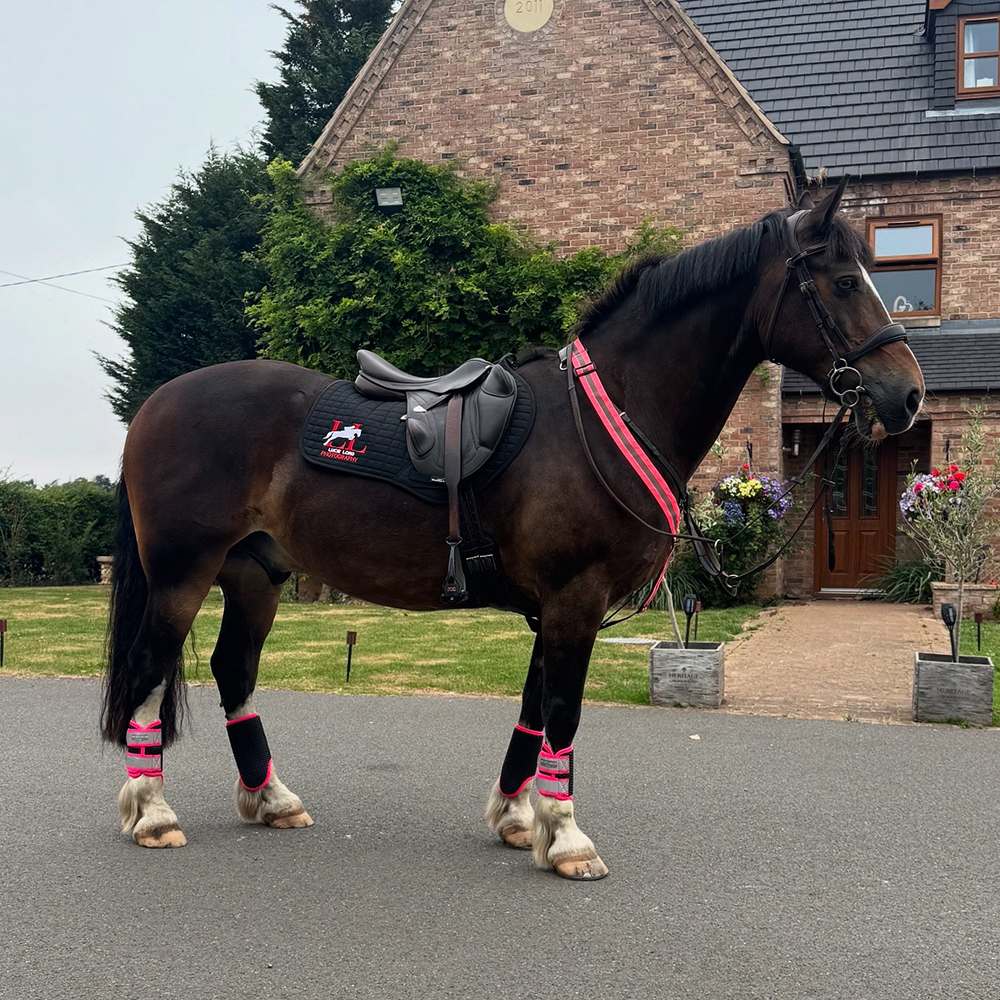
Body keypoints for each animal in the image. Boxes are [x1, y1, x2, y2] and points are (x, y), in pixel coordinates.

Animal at [101, 182, 924, 879]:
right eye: (844, 281)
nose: (909, 393)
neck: (603, 419)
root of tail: (156, 404)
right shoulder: (574, 601)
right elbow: (562, 714)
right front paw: (568, 837)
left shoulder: (552, 607)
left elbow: (532, 714)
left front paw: (518, 817)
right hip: (182, 575)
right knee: (148, 670)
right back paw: (152, 813)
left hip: (256, 575)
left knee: (234, 672)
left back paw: (270, 799)